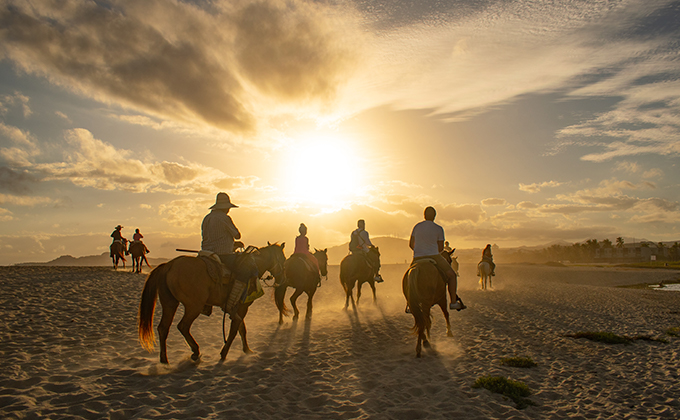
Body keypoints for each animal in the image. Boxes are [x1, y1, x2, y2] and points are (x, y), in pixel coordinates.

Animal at [138, 243, 286, 364]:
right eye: (283, 259)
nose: (282, 277)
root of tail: (169, 265)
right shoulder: (243, 306)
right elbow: (235, 329)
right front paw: (224, 353)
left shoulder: (237, 308)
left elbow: (241, 328)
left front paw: (247, 350)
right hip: (194, 306)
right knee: (183, 326)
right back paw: (195, 352)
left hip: (170, 303)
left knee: (163, 328)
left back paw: (164, 360)